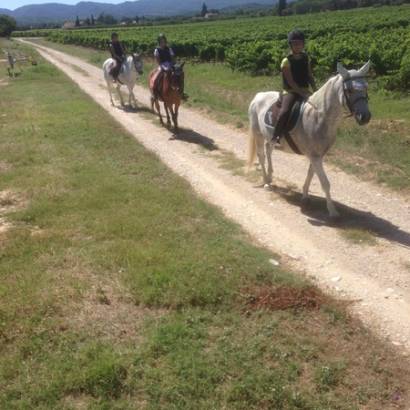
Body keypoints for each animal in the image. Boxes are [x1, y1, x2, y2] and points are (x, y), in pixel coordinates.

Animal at [247, 61, 372, 218]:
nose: (365, 117)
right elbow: (325, 183)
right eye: (349, 90)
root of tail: (258, 96)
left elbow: (310, 174)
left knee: (268, 151)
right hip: (258, 134)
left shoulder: (317, 155)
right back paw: (266, 183)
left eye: (366, 86)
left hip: (270, 138)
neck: (318, 116)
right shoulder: (315, 156)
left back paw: (270, 177)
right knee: (262, 156)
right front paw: (332, 211)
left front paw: (305, 196)